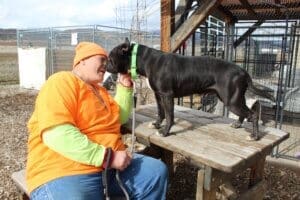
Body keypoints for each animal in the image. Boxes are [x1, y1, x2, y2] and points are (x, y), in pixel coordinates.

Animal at [106, 38, 276, 140]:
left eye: (110, 58)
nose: (105, 65)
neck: (144, 59)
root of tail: (243, 71)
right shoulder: (158, 95)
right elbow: (161, 112)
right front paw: (156, 124)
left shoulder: (167, 95)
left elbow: (170, 116)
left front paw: (165, 132)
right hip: (234, 98)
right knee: (245, 112)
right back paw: (238, 124)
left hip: (231, 100)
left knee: (253, 114)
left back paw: (254, 136)